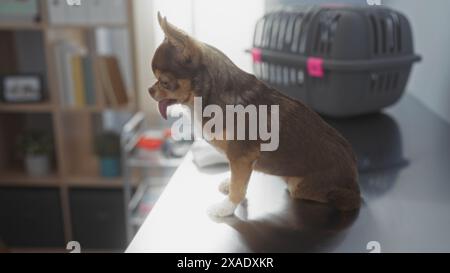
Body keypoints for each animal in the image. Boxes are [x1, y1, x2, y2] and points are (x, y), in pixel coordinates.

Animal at [149, 13, 360, 217]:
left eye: (164, 82)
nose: (149, 90)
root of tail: (354, 180)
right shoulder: (242, 161)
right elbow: (239, 180)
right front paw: (229, 185)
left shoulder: (241, 157)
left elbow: (238, 186)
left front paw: (225, 208)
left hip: (303, 186)